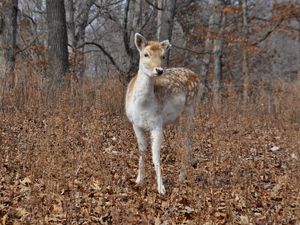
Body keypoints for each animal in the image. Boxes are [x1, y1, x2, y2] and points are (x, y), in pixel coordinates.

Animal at [125, 33, 200, 193]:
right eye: (145, 54)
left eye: (163, 55)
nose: (159, 70)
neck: (142, 106)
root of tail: (196, 76)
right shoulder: (136, 125)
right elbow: (142, 151)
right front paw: (139, 180)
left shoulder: (157, 124)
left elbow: (155, 156)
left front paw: (161, 188)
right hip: (177, 119)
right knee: (186, 142)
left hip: (189, 110)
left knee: (186, 142)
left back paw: (181, 177)